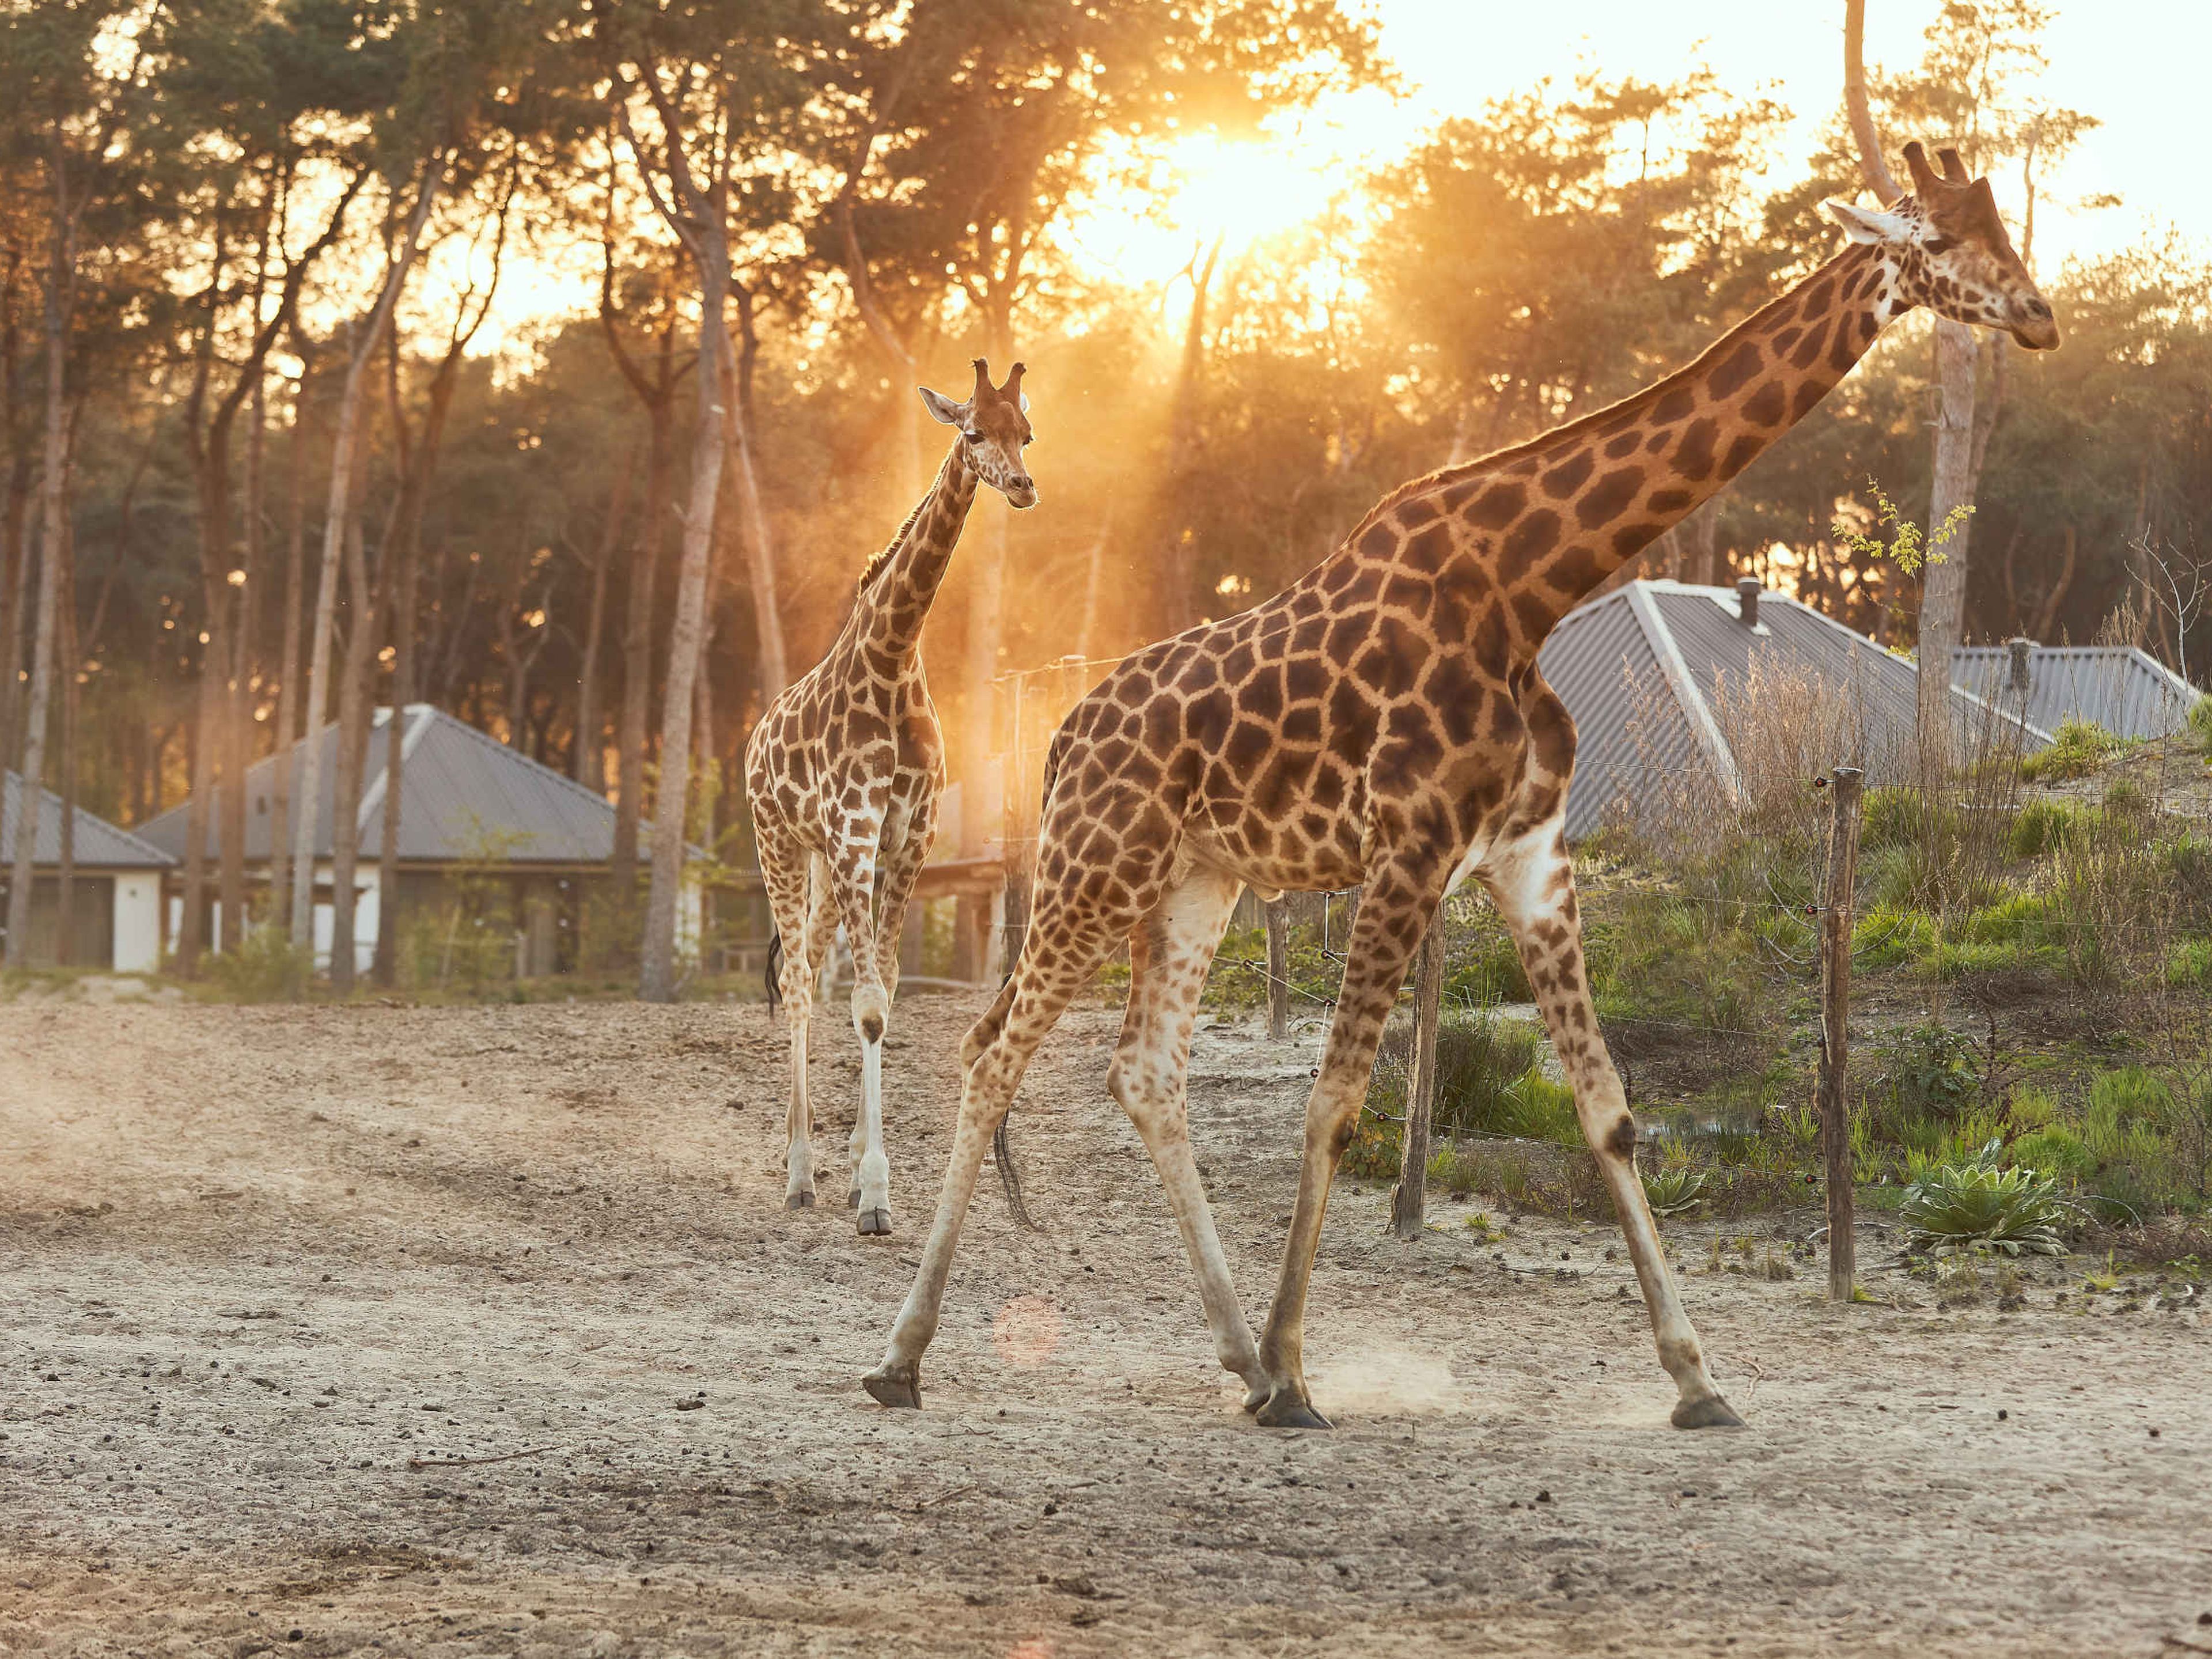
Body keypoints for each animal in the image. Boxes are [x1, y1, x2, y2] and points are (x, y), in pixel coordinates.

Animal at [745, 358, 1035, 1236]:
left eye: (1027, 432)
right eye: (972, 431)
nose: (1022, 486)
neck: (895, 653)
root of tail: (751, 743)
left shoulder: (906, 837)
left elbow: (887, 999)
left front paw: (865, 1180)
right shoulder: (855, 829)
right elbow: (867, 1006)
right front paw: (872, 1195)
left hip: (824, 862)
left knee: (811, 970)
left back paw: (818, 1168)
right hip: (779, 843)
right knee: (798, 988)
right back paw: (799, 1174)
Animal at [864, 143, 2056, 1423]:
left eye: (2003, 227)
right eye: (1940, 241)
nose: (2039, 313)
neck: (1529, 586)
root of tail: (1062, 738)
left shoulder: (1530, 855)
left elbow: (1609, 1109)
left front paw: (1697, 1378)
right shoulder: (1411, 847)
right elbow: (1335, 1104)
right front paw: (1298, 1373)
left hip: (1196, 880)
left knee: (1143, 1073)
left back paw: (1231, 1353)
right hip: (1099, 868)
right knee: (993, 1052)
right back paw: (903, 1357)